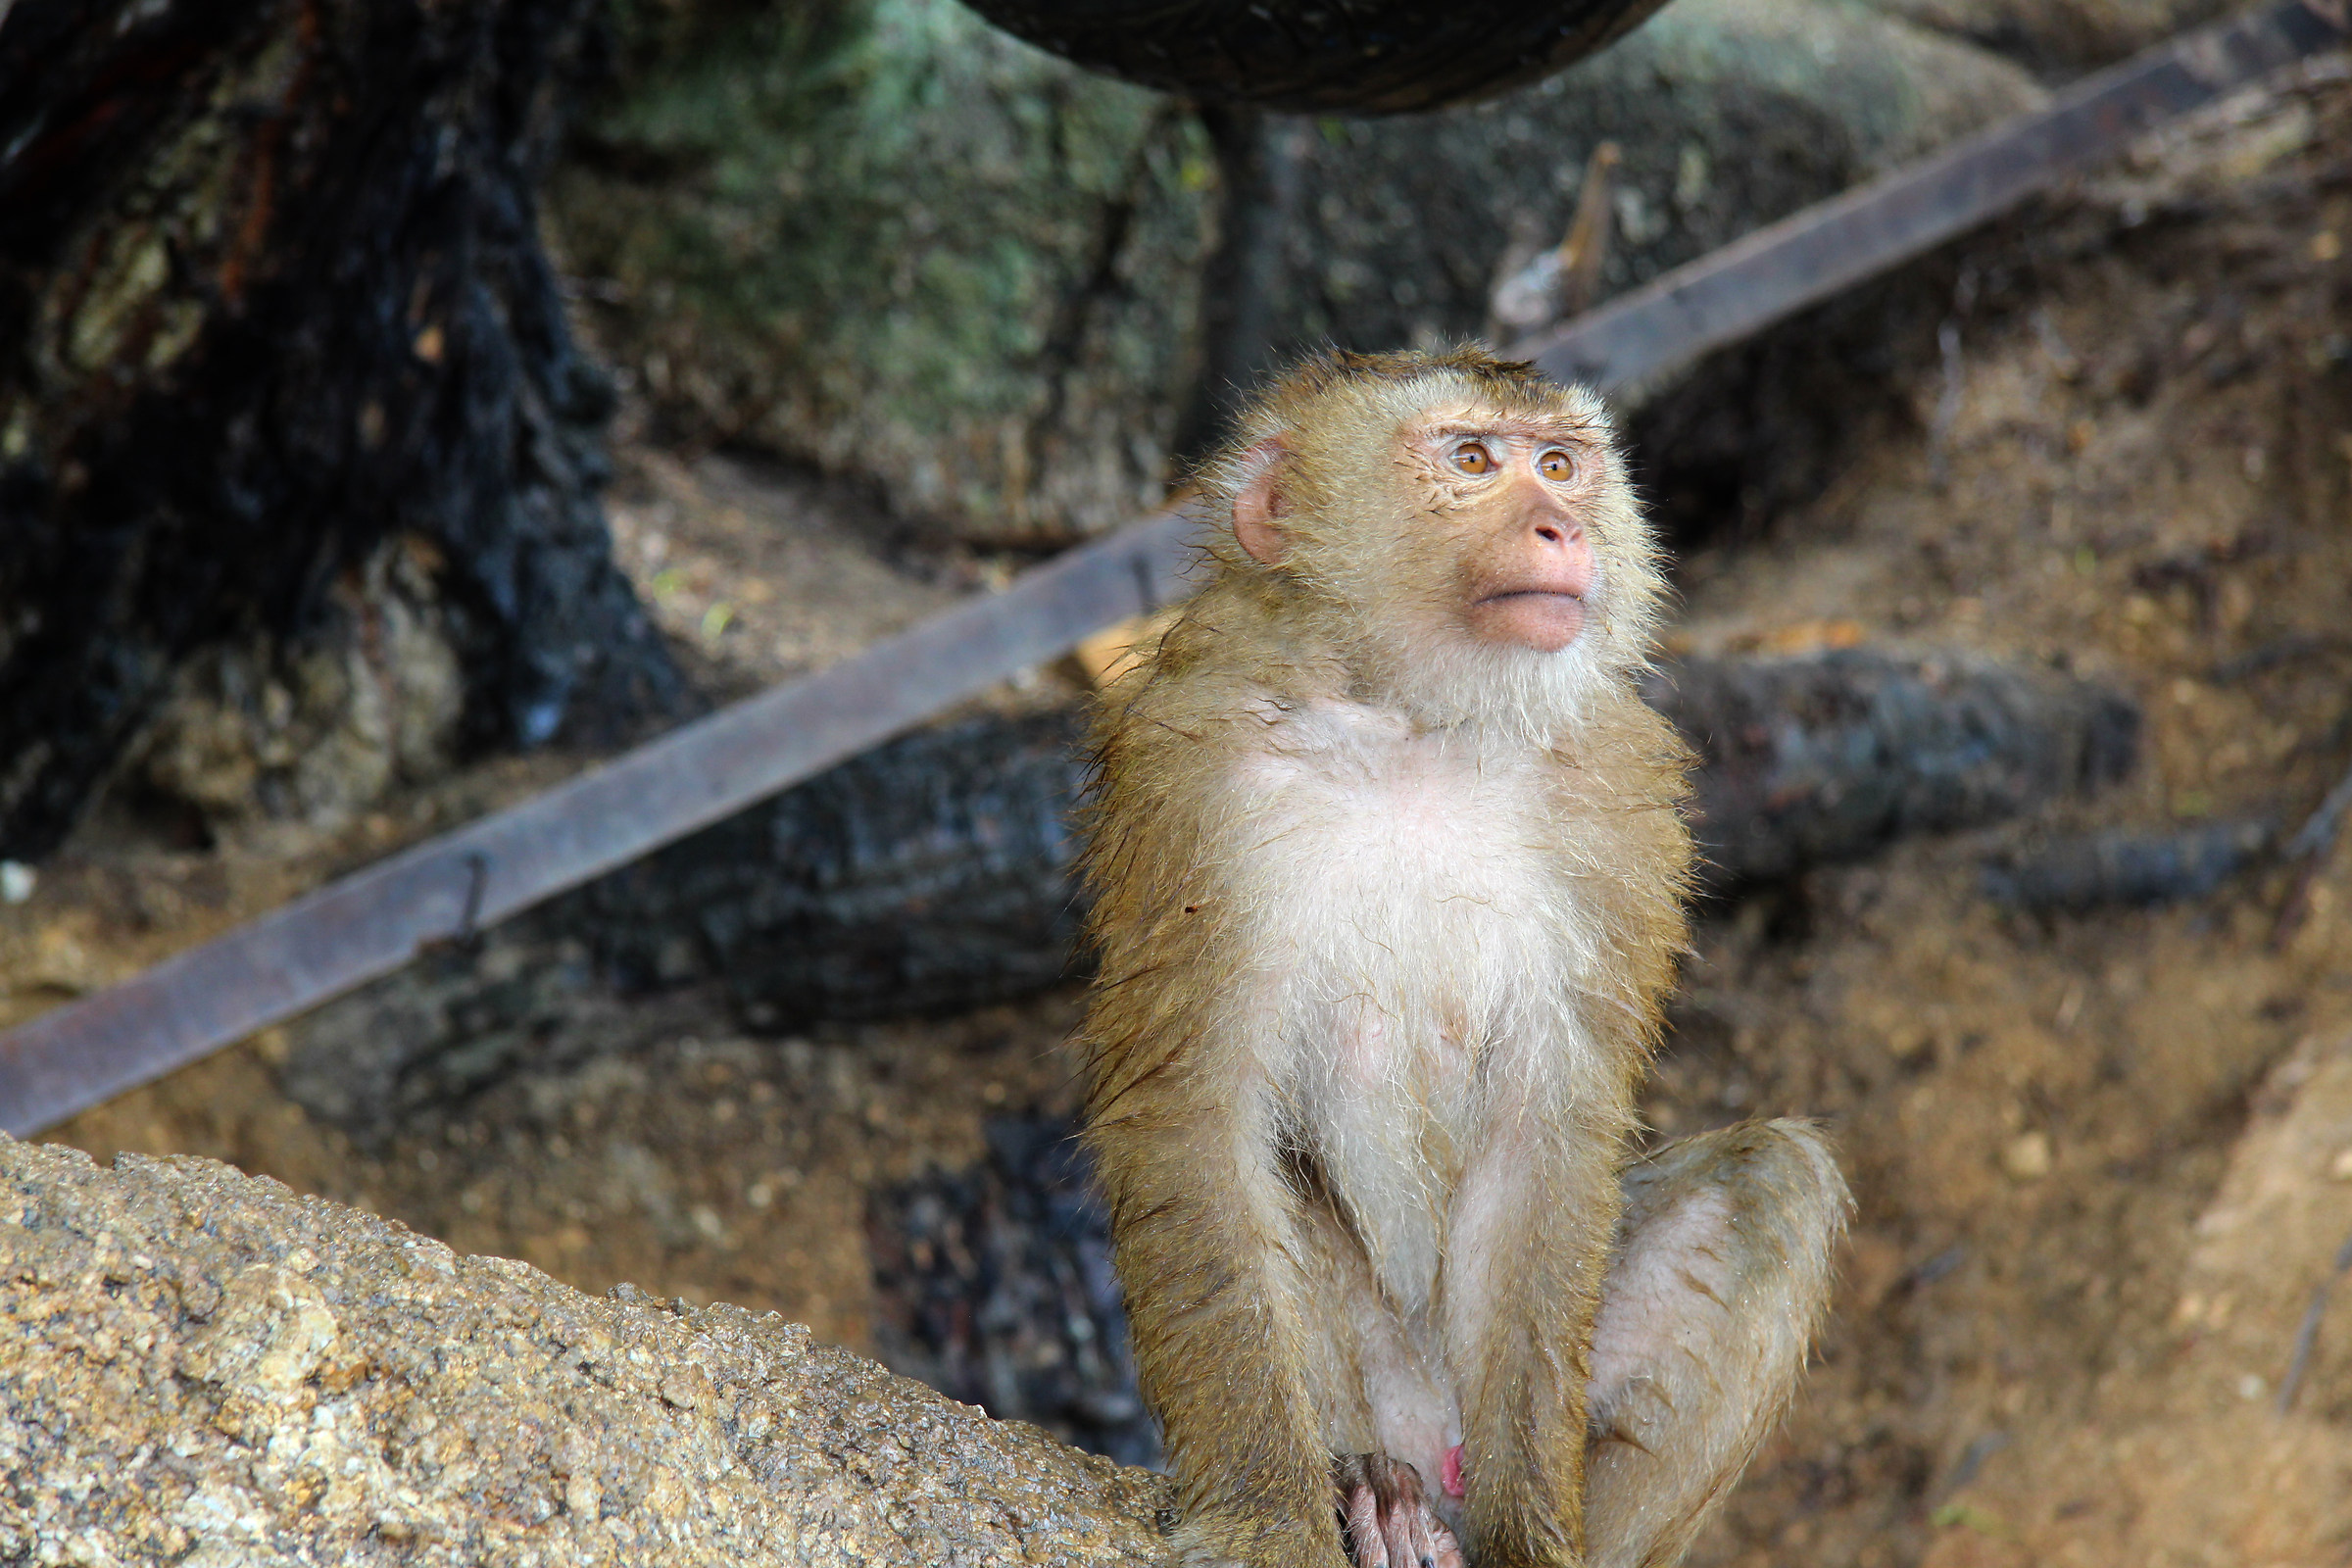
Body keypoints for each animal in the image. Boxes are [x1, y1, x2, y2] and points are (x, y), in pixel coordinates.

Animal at [1075, 347, 1849, 1568]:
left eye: (1560, 465)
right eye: (1474, 461)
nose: (1557, 528)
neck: (1414, 728)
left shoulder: (1619, 800)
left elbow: (1546, 1137)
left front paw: (1530, 1544)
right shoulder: (1192, 778)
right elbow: (1195, 1116)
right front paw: (1268, 1517)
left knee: (1776, 1181)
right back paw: (1369, 1495)